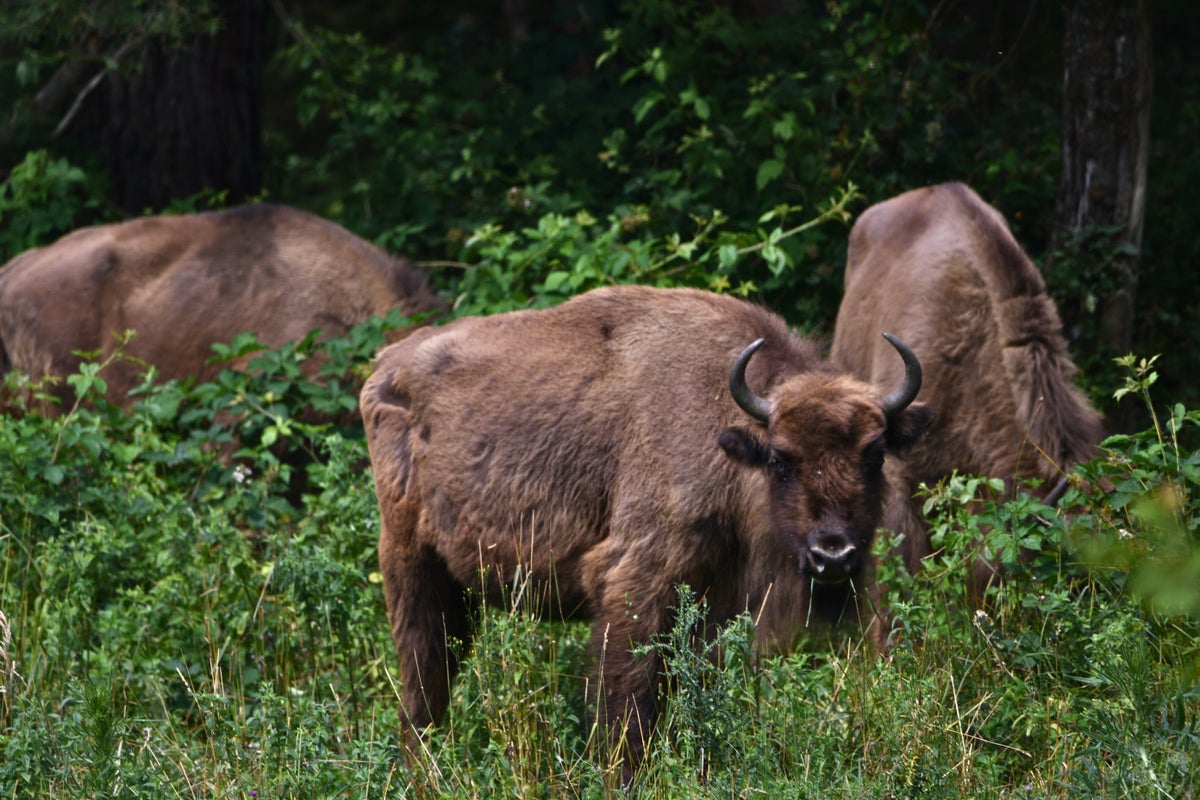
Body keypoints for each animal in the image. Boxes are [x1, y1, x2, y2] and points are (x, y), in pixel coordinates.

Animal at [360, 284, 933, 776]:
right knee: (423, 684)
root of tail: (385, 369)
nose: (832, 555)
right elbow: (628, 705)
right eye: (780, 460)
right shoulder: (636, 584)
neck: (721, 431)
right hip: (412, 568)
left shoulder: (714, 603)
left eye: (875, 455)